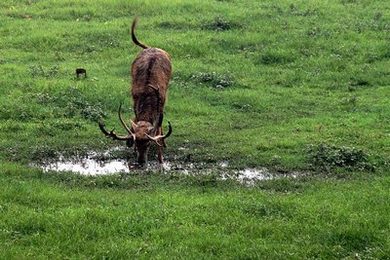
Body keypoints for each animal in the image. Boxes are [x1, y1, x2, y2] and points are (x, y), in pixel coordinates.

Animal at [100, 17, 173, 167]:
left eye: (148, 144)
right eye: (136, 143)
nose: (141, 161)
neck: (148, 96)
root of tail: (151, 47)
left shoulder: (161, 105)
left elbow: (158, 129)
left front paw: (161, 158)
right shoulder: (135, 102)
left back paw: (164, 143)